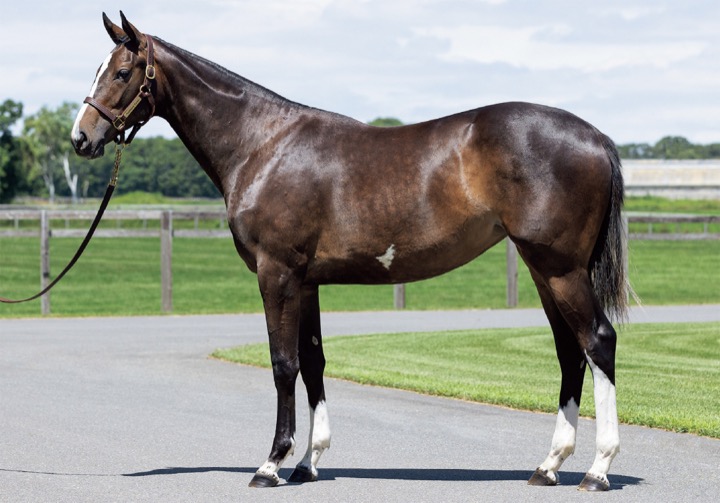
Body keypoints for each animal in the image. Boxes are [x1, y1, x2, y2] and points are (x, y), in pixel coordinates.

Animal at [72, 12, 629, 492]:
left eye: (122, 72)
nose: (81, 137)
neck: (263, 144)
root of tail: (597, 137)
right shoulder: (307, 281)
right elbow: (314, 362)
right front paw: (308, 462)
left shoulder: (277, 273)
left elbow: (283, 363)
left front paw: (271, 464)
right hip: (543, 270)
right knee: (569, 352)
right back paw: (548, 465)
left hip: (560, 268)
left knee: (597, 341)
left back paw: (597, 470)